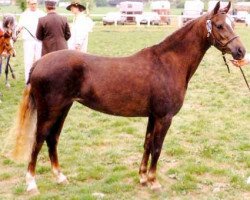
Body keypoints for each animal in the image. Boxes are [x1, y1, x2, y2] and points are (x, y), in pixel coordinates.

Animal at [12, 1, 246, 192]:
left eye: (233, 22)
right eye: (219, 25)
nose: (241, 51)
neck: (167, 63)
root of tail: (39, 63)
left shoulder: (153, 116)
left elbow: (147, 144)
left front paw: (142, 178)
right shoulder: (164, 117)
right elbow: (157, 148)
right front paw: (154, 181)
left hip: (63, 109)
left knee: (52, 139)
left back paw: (60, 177)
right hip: (49, 110)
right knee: (38, 140)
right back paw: (31, 183)